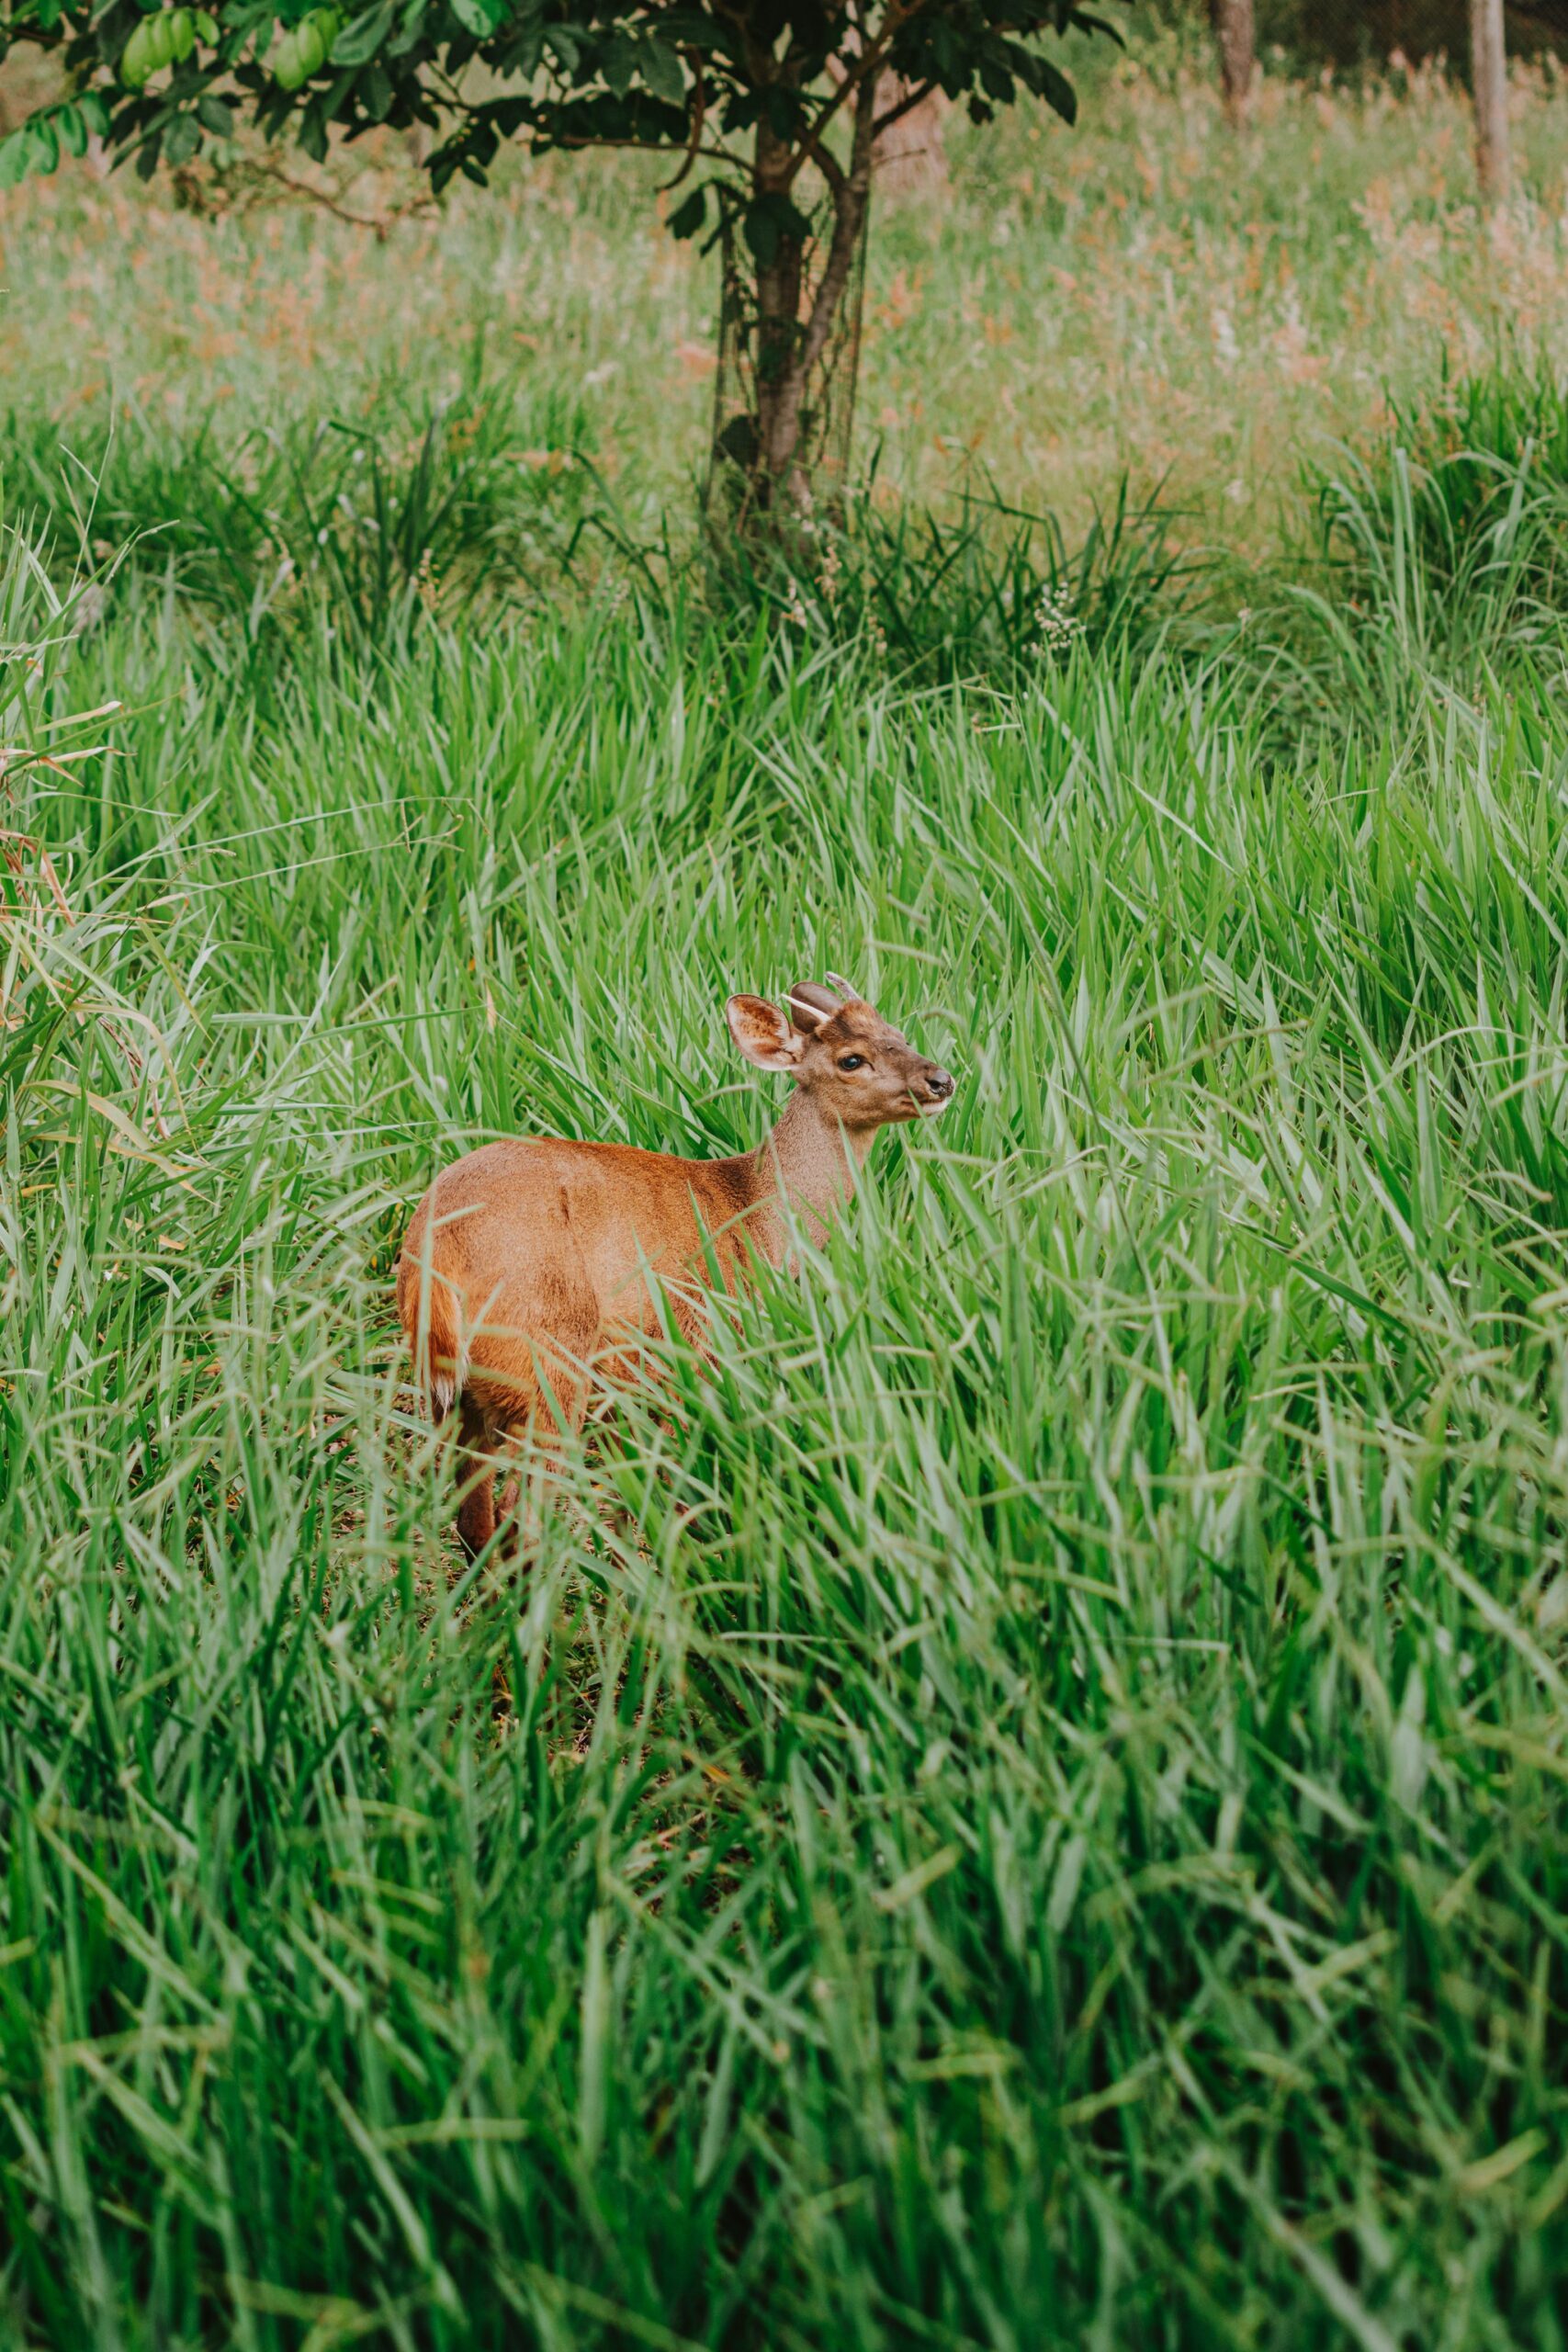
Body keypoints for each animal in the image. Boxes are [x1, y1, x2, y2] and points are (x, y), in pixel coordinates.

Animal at [397, 979, 955, 1557]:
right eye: (851, 1059)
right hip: (551, 1357)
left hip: (456, 1392)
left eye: (899, 1034)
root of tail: (436, 1247)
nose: (941, 1080)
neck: (757, 1216)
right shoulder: (698, 1347)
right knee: (521, 1513)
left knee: (473, 1517)